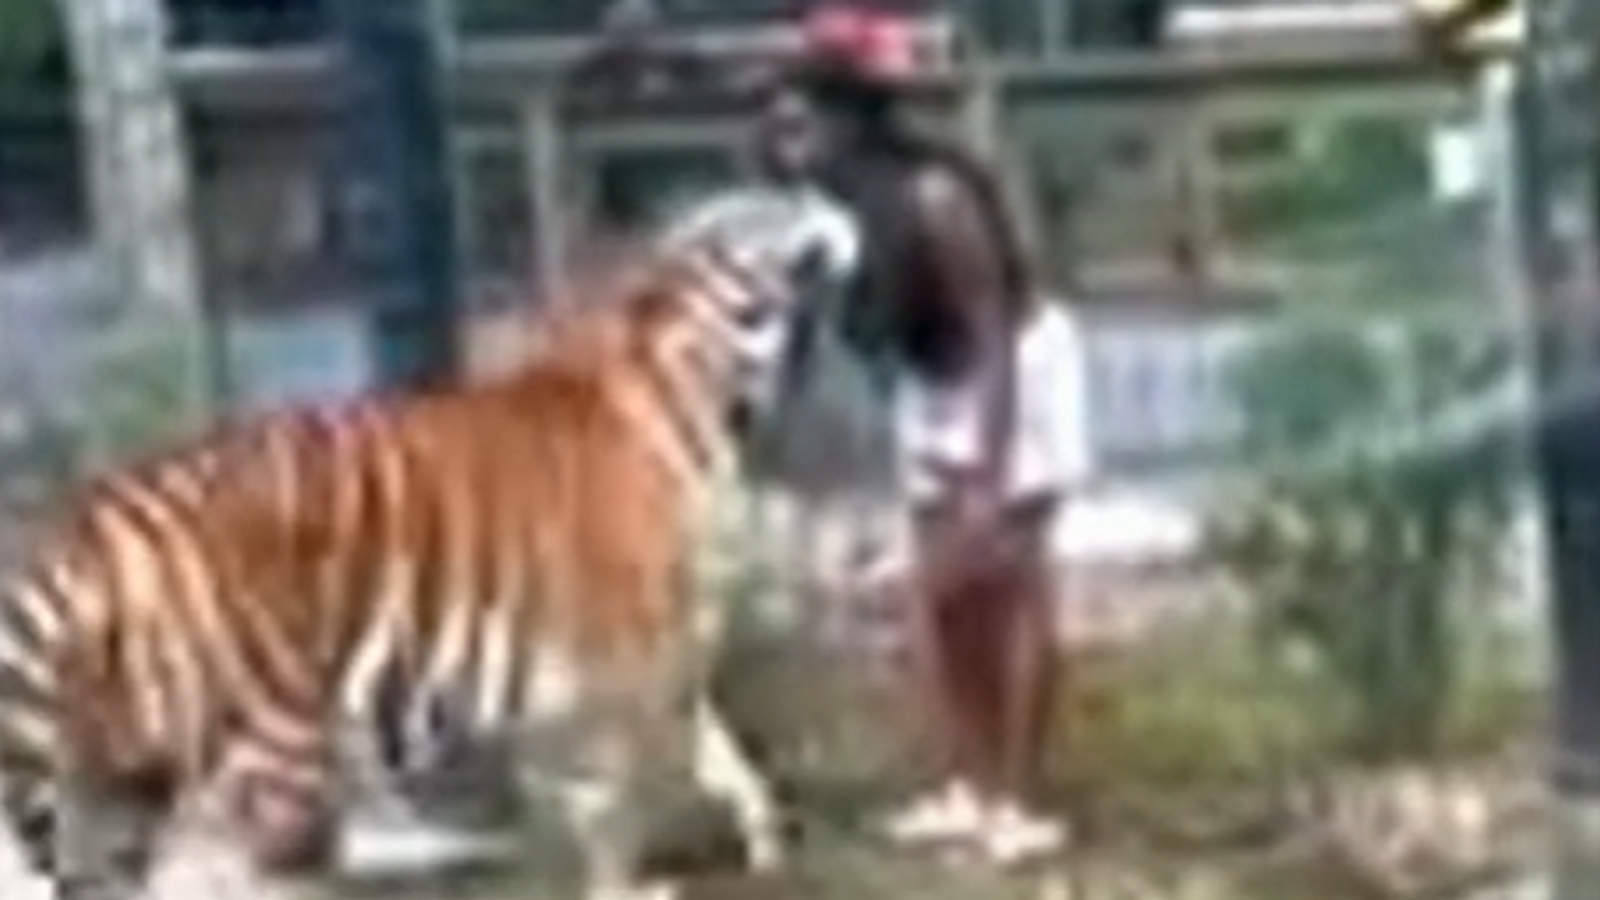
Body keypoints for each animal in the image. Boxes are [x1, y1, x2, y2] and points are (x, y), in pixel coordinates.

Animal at [0, 187, 864, 896]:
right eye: (754, 210)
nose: (831, 208)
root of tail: (79, 530)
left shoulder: (643, 666)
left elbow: (718, 759)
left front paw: (767, 843)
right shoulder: (627, 663)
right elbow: (622, 799)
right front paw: (636, 877)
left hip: (128, 775)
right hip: (277, 746)